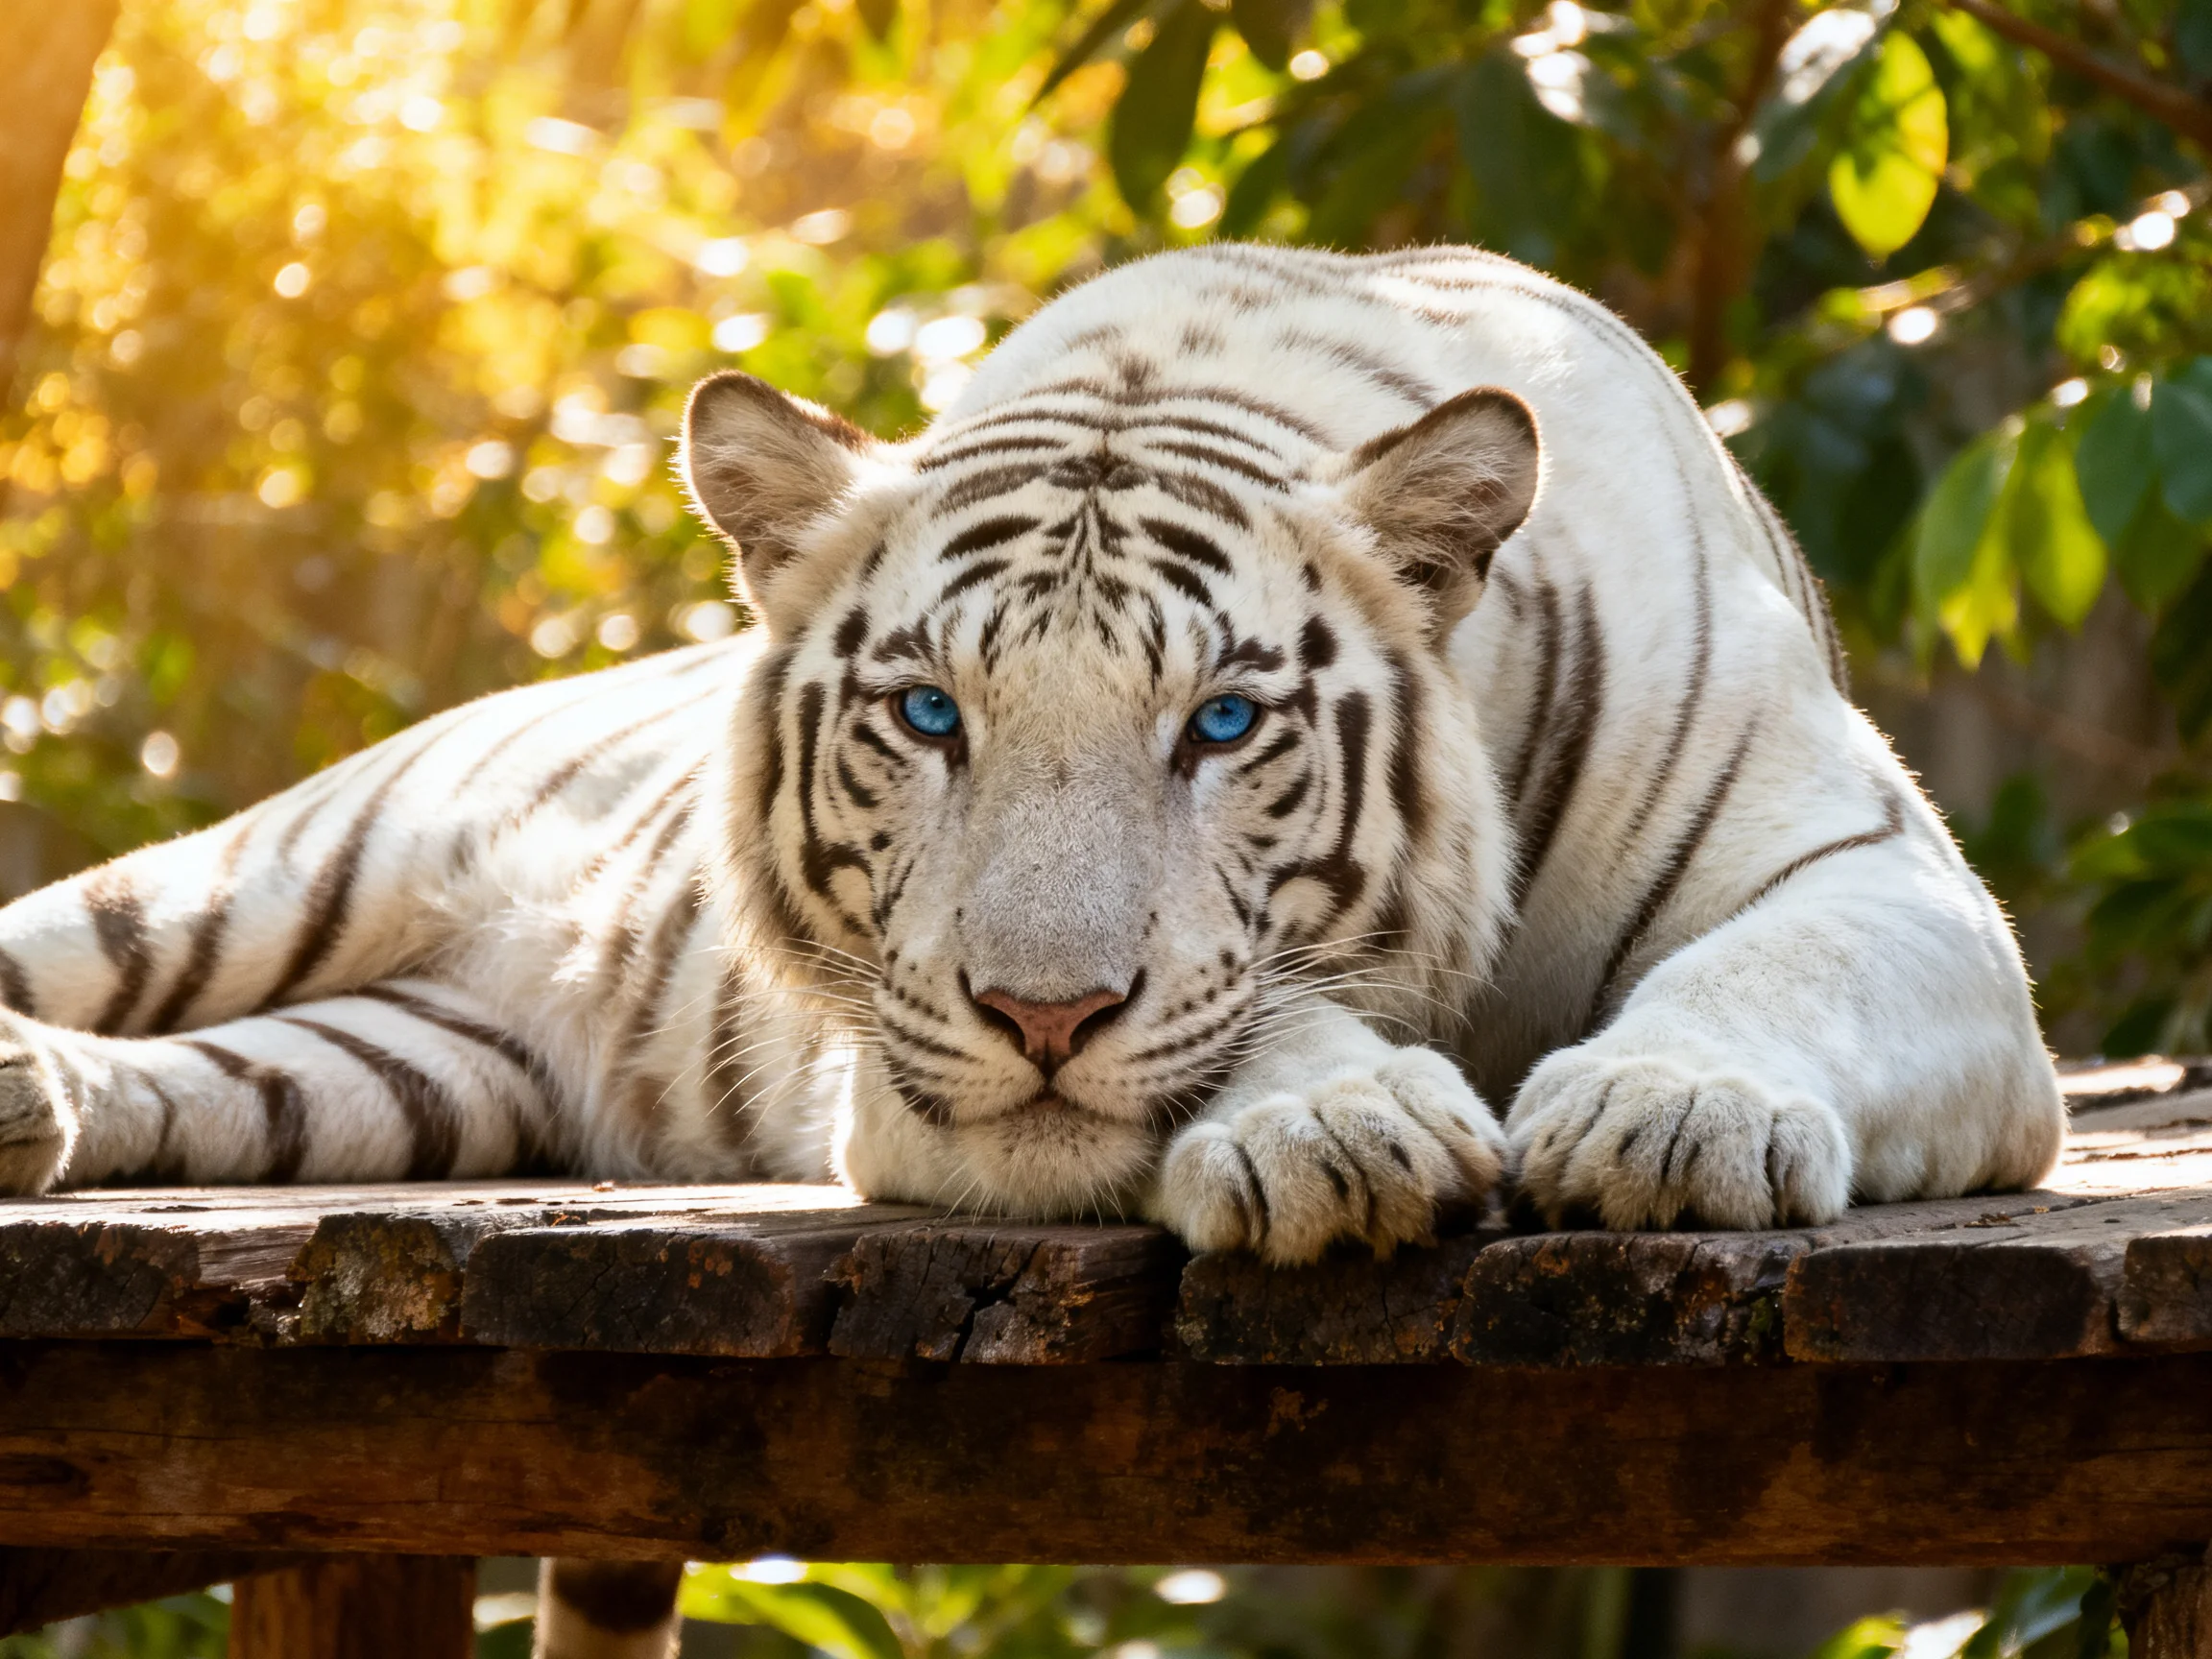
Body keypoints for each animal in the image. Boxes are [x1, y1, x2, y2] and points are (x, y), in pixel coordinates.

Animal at [0, 241, 2063, 1264]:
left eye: (1219, 722)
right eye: (929, 714)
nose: (1040, 1012)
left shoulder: (1880, 876)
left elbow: (1771, 966)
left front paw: (1662, 1118)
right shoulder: (907, 1067)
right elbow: (1229, 1032)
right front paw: (1337, 1128)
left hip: (414, 1071)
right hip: (253, 880)